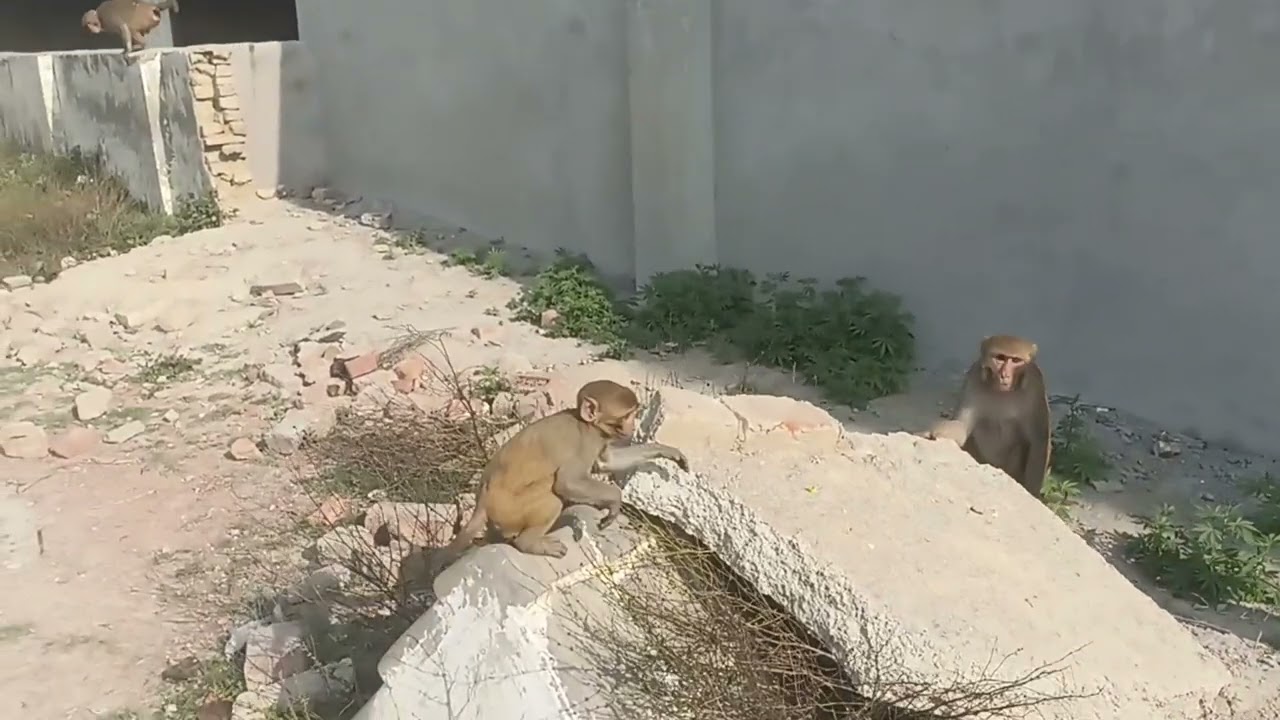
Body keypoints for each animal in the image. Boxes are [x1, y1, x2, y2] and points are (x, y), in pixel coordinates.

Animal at [443, 379, 690, 562]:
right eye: (626, 416)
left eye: (632, 414)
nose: (632, 426)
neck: (587, 423)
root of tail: (482, 500)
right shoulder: (585, 443)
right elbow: (567, 482)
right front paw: (614, 502)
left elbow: (607, 463)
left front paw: (667, 451)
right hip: (509, 508)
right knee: (552, 494)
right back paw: (529, 543)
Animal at [921, 334, 1051, 500]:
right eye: (1000, 357)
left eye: (1016, 360)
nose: (1004, 375)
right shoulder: (974, 376)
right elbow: (962, 425)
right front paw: (935, 432)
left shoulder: (1036, 385)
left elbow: (1038, 442)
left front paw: (1032, 493)